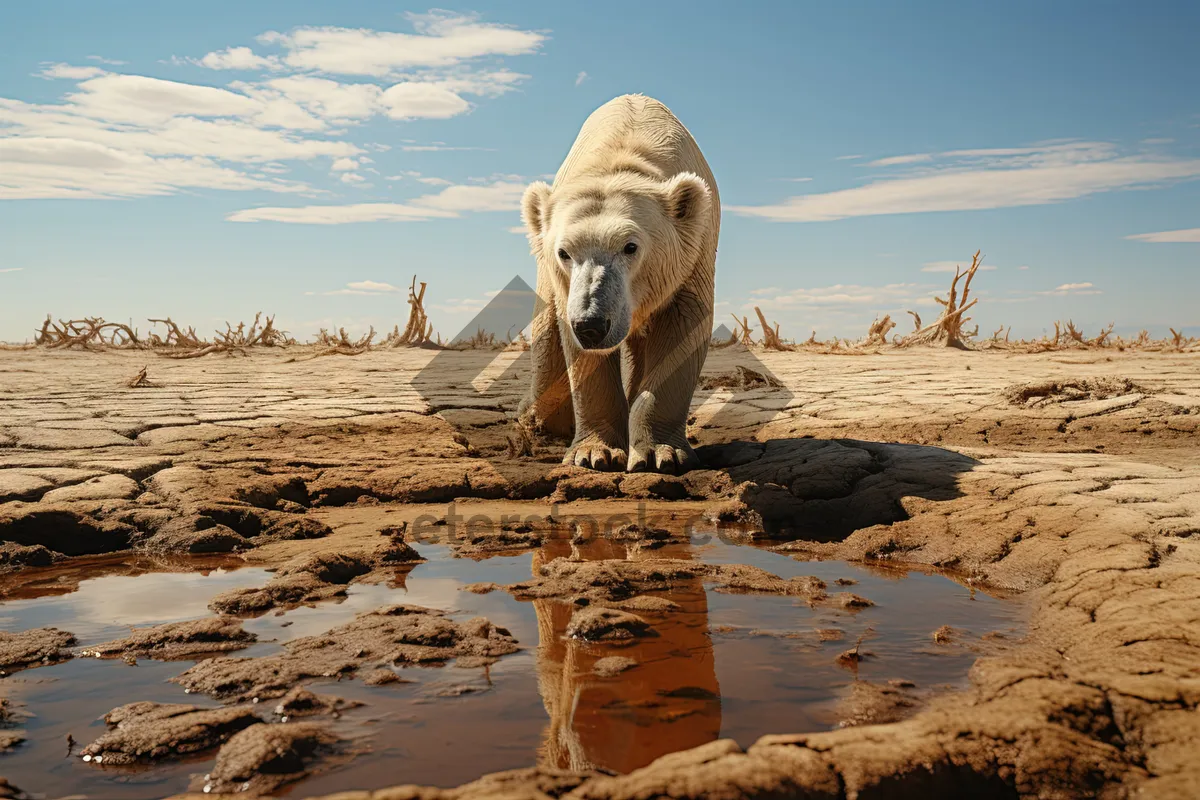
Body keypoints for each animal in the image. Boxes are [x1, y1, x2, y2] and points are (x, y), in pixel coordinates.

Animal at [518, 94, 720, 472]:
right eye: (564, 252)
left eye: (631, 247)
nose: (592, 325)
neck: (623, 153)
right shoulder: (568, 289)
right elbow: (582, 355)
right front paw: (596, 453)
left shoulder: (692, 254)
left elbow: (681, 328)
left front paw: (660, 453)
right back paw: (538, 418)